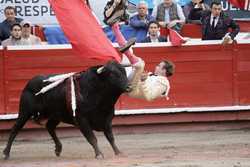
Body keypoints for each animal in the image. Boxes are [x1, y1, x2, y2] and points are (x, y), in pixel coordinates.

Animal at [2, 61, 131, 159]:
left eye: (124, 73)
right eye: (113, 74)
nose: (129, 86)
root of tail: (29, 83)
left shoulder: (107, 119)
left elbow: (110, 137)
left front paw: (118, 152)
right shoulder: (82, 120)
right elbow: (92, 138)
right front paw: (99, 154)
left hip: (55, 115)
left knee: (49, 127)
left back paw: (58, 149)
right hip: (24, 112)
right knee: (15, 129)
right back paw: (6, 153)